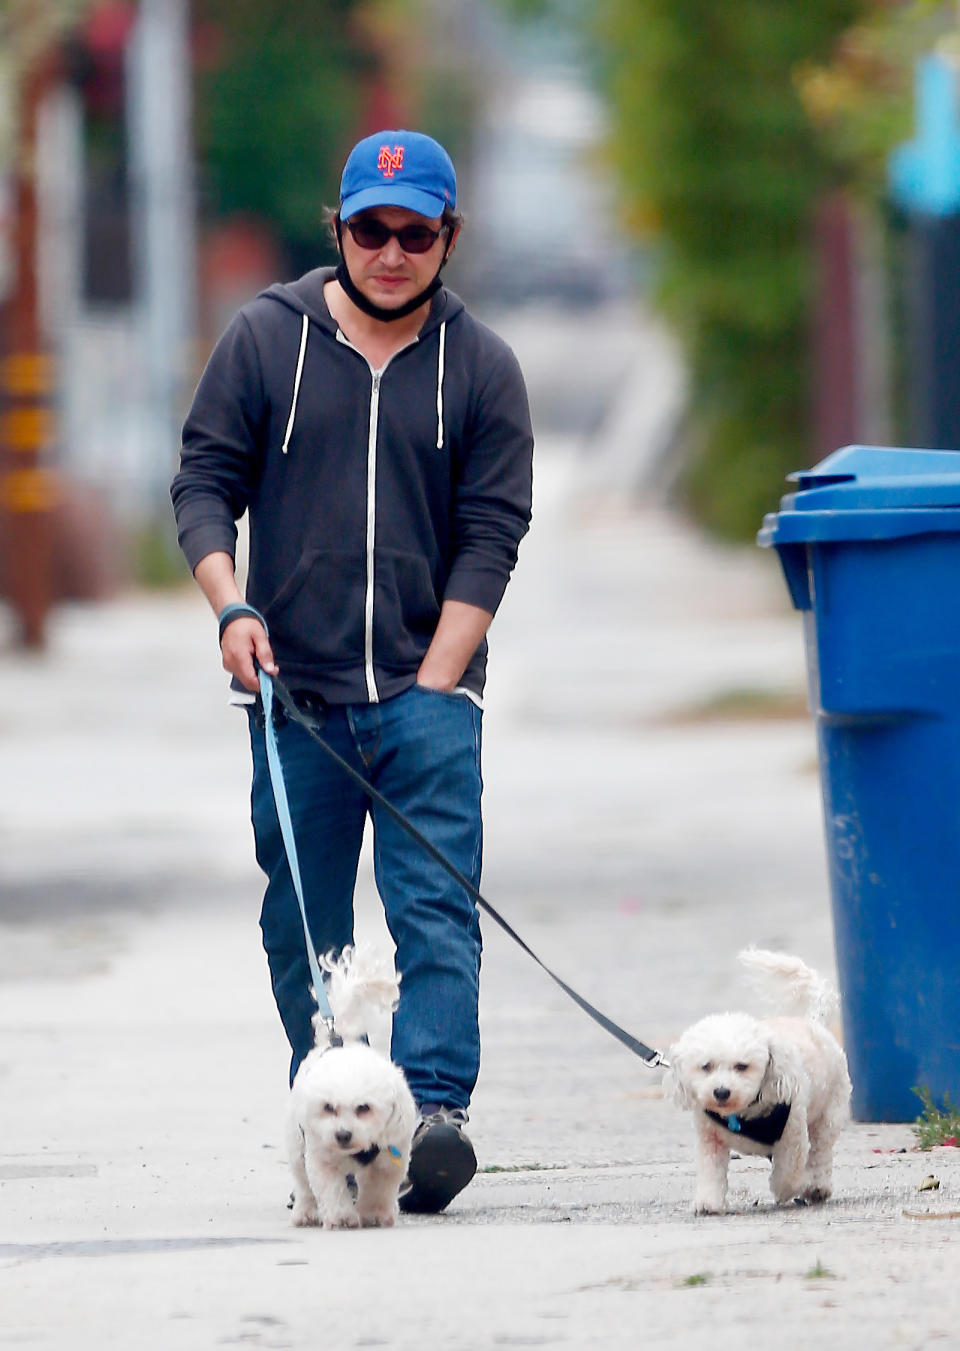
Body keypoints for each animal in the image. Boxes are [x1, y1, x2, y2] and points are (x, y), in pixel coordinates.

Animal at [287, 945, 418, 1232]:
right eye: (328, 1108)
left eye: (364, 1108)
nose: (342, 1135)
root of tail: (337, 1039)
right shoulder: (321, 1157)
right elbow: (332, 1188)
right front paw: (342, 1217)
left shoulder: (390, 1159)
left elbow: (379, 1187)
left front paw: (374, 1213)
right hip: (297, 1145)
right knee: (303, 1182)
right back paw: (306, 1211)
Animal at [664, 951, 853, 1215]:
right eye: (706, 1066)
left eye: (742, 1066)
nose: (721, 1091)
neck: (742, 1113)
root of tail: (813, 1022)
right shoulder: (709, 1139)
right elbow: (711, 1171)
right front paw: (709, 1202)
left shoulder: (792, 1135)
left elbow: (789, 1171)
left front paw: (785, 1189)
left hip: (829, 1113)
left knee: (820, 1152)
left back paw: (816, 1186)